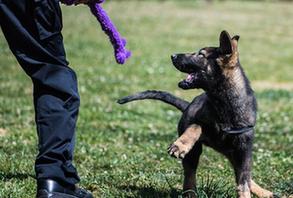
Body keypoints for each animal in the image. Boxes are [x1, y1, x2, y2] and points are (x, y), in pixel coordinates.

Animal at [117, 31, 274, 198]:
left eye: (201, 54)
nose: (172, 55)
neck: (223, 103)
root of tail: (188, 105)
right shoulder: (202, 125)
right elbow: (196, 126)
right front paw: (180, 145)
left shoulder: (243, 150)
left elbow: (243, 182)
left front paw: (247, 192)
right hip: (195, 152)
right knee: (190, 177)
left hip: (233, 153)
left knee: (244, 175)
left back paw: (262, 191)